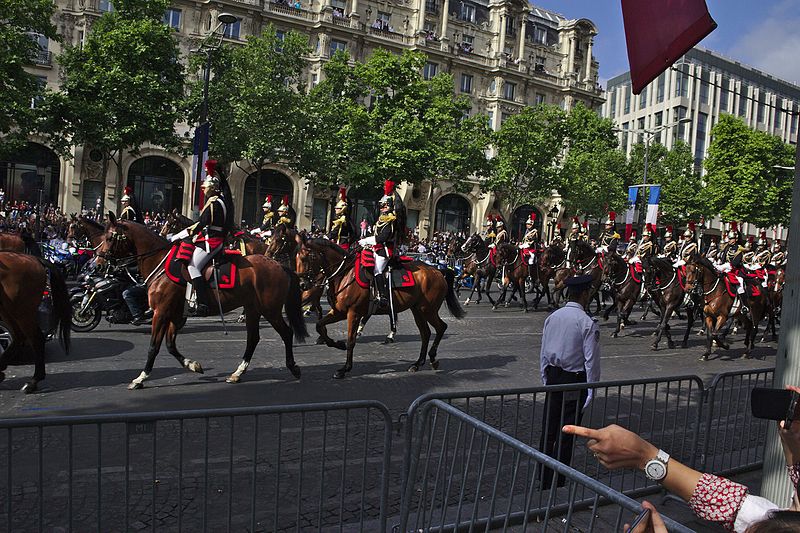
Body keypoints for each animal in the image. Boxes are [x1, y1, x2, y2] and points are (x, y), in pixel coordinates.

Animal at [0, 251, 71, 392]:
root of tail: (34, 259)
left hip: (21, 312)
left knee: (36, 339)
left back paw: (33, 382)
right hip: (8, 311)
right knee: (19, 337)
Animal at [97, 214, 310, 388]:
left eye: (109, 238)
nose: (98, 263)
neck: (161, 264)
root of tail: (279, 265)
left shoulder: (161, 312)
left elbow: (153, 347)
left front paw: (141, 377)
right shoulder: (175, 314)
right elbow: (170, 345)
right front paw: (193, 365)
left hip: (270, 310)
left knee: (286, 333)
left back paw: (293, 367)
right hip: (253, 309)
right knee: (253, 339)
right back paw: (237, 373)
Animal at [296, 237, 466, 378]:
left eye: (306, 258)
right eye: (296, 258)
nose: (302, 285)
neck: (344, 275)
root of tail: (437, 270)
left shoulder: (353, 313)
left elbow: (351, 340)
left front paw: (344, 369)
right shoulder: (339, 312)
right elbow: (319, 326)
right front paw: (336, 343)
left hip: (428, 310)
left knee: (441, 327)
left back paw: (432, 358)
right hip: (417, 310)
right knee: (426, 334)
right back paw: (418, 364)